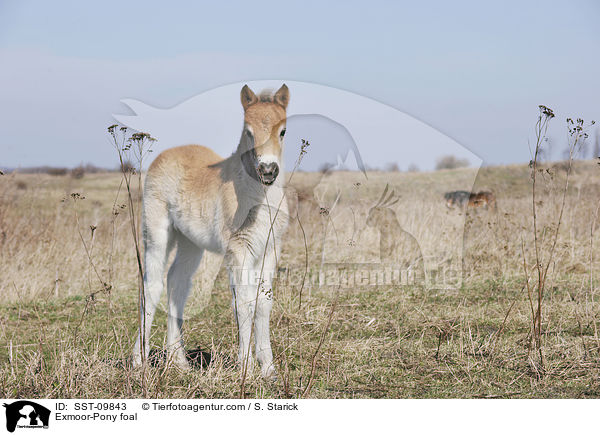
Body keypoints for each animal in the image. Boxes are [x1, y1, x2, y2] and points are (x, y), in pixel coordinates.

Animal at [132, 84, 290, 378]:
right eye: (249, 132)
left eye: (283, 131)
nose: (268, 171)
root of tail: (166, 154)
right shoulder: (239, 250)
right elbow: (244, 303)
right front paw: (246, 368)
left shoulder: (269, 249)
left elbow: (264, 303)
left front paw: (268, 368)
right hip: (156, 233)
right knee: (152, 285)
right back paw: (138, 360)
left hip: (190, 243)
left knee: (177, 283)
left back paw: (179, 360)